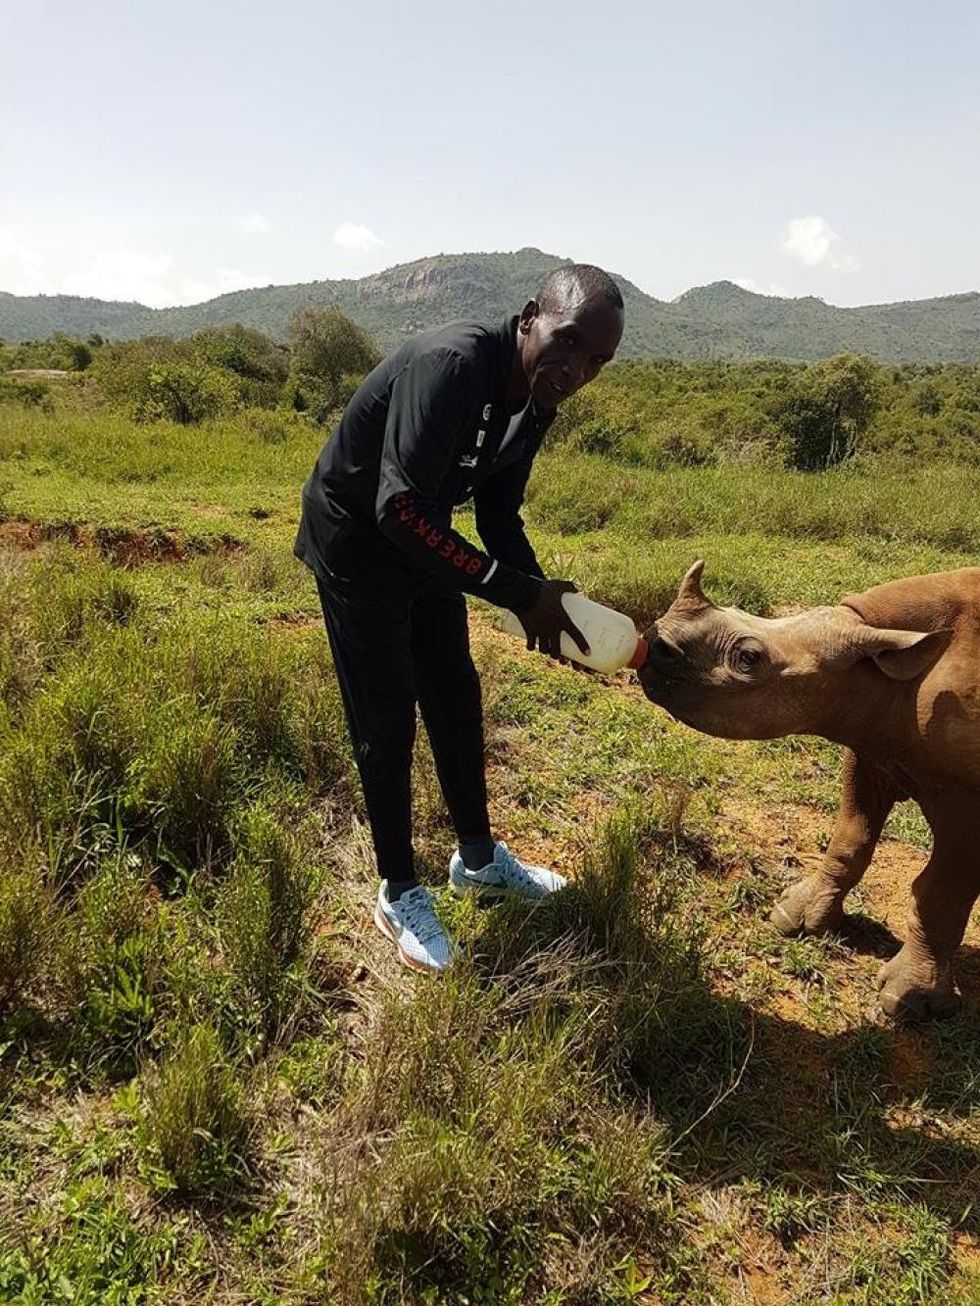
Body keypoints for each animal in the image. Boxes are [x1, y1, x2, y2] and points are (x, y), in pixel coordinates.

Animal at [637, 561, 980, 1018]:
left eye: (748, 658)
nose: (653, 640)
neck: (884, 673)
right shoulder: (871, 745)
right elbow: (850, 838)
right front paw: (795, 918)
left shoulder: (968, 796)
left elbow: (943, 891)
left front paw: (907, 1002)